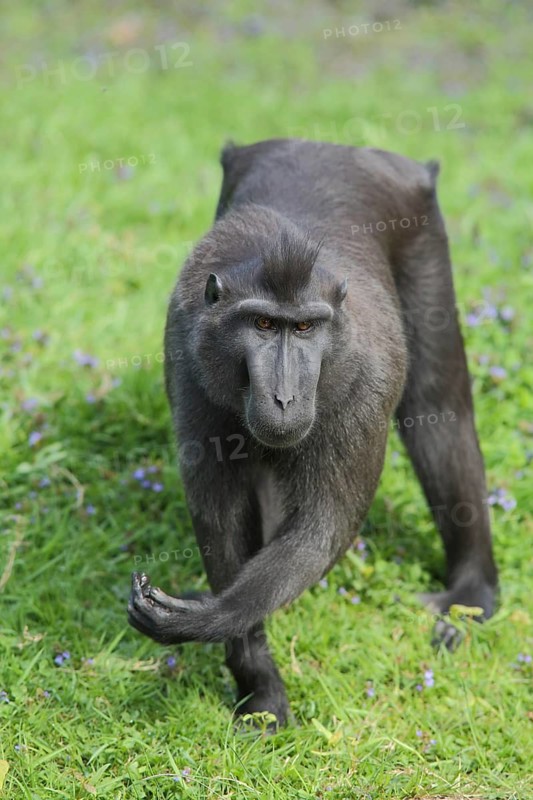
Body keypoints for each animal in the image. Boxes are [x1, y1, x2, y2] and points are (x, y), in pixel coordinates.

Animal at [128, 139, 498, 727]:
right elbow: (222, 515)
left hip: (424, 240)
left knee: (441, 411)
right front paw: (257, 681)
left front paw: (208, 617)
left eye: (303, 328)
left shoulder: (366, 378)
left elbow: (324, 525)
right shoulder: (189, 360)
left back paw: (473, 592)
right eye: (262, 325)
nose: (284, 397)